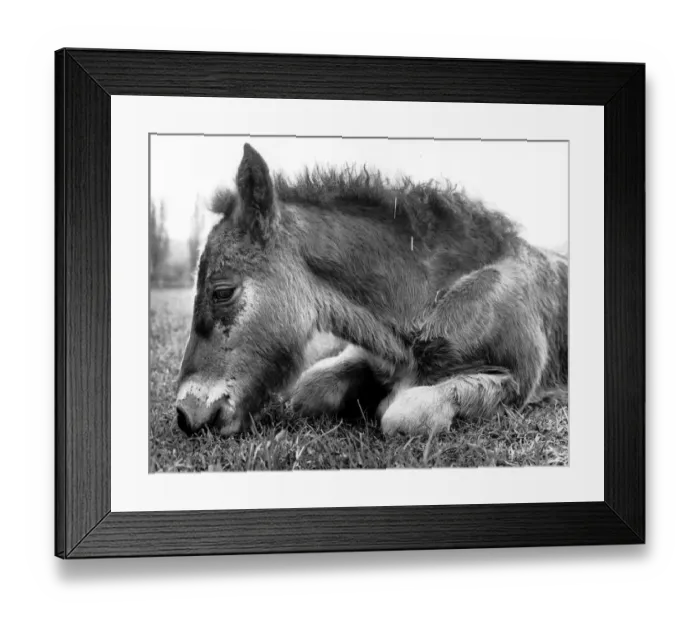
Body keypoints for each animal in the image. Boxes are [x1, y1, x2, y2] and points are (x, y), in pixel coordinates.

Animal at [174, 143, 568, 438]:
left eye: (222, 291)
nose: (186, 415)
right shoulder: (368, 352)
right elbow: (308, 388)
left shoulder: (515, 381)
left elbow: (403, 414)